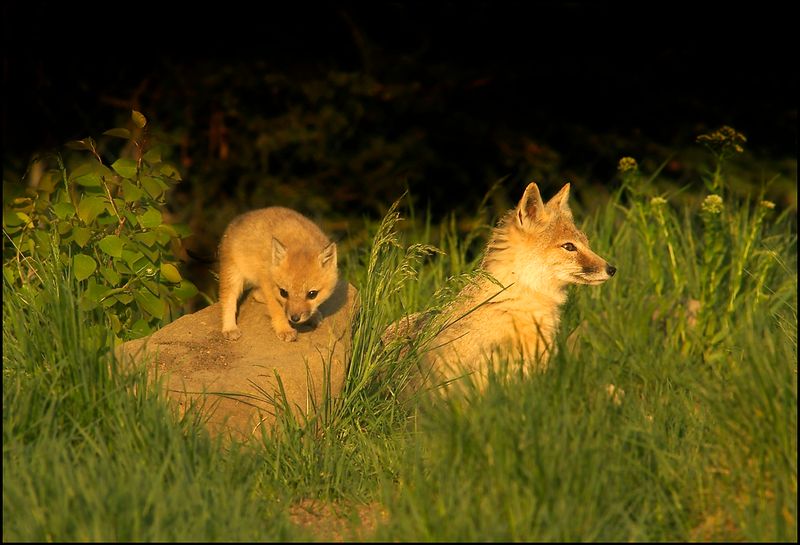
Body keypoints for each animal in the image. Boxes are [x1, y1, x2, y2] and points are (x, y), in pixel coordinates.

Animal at [217, 207, 336, 340]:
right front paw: (284, 329)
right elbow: (277, 310)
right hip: (233, 276)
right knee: (228, 300)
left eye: (312, 294)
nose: (295, 318)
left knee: (255, 294)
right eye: (283, 292)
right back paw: (230, 328)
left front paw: (313, 316)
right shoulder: (268, 284)